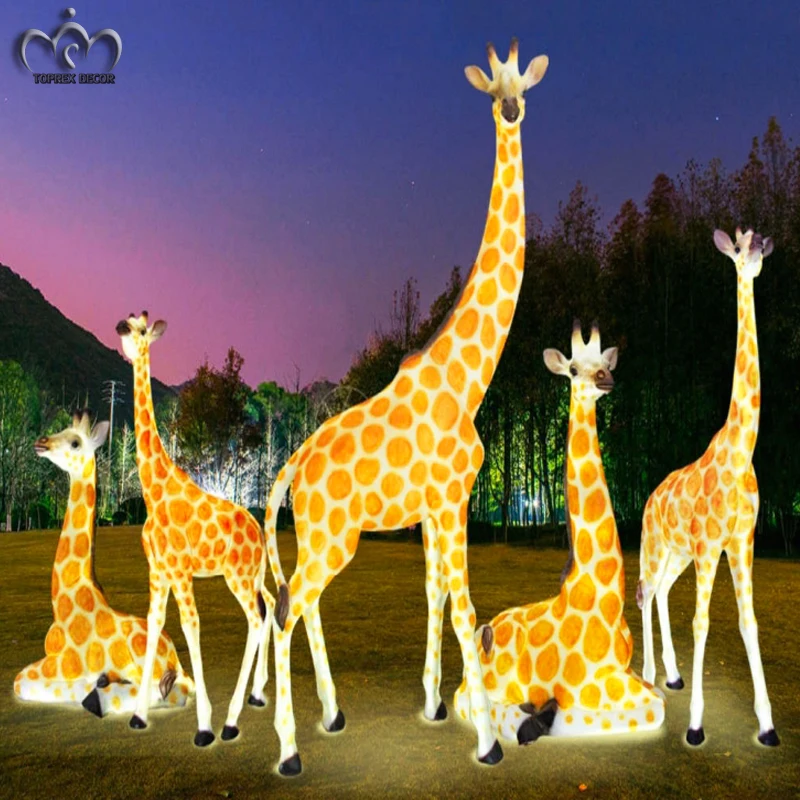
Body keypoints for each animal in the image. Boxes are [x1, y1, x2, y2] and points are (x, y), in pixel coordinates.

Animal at [15, 411, 194, 717]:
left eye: (75, 442)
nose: (42, 442)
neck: (63, 599)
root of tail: (173, 656)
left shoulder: (64, 660)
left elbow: (20, 681)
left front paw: (88, 687)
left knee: (172, 690)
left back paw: (98, 697)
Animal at [117, 312, 275, 746]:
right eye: (127, 322)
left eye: (139, 329)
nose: (119, 327)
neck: (153, 490)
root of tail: (258, 529)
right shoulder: (158, 571)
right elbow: (155, 625)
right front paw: (138, 716)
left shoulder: (180, 571)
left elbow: (191, 627)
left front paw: (204, 726)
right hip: (251, 576)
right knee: (270, 607)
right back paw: (256, 695)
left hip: (238, 575)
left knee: (257, 619)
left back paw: (232, 721)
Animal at [262, 39, 549, 775]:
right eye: (492, 92)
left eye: (524, 87)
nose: (512, 110)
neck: (468, 380)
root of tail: (290, 468)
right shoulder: (451, 499)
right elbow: (463, 604)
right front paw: (487, 742)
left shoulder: (435, 508)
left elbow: (435, 593)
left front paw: (436, 704)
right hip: (333, 535)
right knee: (286, 607)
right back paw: (290, 750)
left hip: (323, 535)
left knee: (300, 603)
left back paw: (333, 714)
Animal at [454, 322, 665, 742]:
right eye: (572, 369)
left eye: (605, 364)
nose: (603, 379)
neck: (606, 595)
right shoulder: (589, 685)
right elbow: (645, 711)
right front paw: (540, 716)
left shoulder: (625, 673)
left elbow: (657, 698)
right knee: (467, 698)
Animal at [638, 228, 780, 747]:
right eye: (739, 247)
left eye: (759, 242)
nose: (760, 250)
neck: (740, 453)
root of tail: (648, 498)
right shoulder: (709, 543)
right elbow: (701, 622)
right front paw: (696, 726)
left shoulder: (741, 542)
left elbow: (749, 623)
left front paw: (768, 725)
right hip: (657, 545)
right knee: (644, 590)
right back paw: (647, 674)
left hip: (679, 553)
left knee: (659, 591)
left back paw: (673, 675)